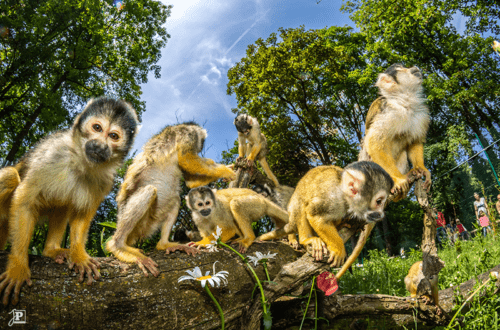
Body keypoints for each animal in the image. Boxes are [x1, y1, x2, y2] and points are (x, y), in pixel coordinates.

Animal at [0, 96, 140, 306]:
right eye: (97, 128)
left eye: (113, 136)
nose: (99, 145)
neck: (80, 161)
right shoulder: (51, 154)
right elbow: (24, 200)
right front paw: (17, 265)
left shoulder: (106, 179)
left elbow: (83, 213)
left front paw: (79, 254)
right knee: (10, 175)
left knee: (62, 203)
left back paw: (51, 251)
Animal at [106, 122, 235, 278]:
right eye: (202, 142)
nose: (201, 147)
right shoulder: (188, 134)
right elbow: (187, 159)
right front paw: (225, 171)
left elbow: (190, 182)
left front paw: (227, 168)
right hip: (135, 221)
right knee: (149, 191)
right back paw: (118, 246)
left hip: (151, 223)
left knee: (175, 199)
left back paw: (164, 244)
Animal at [358, 62, 432, 200]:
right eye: (401, 69)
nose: (413, 67)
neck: (405, 103)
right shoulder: (389, 111)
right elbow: (373, 142)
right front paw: (398, 179)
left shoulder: (421, 113)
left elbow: (415, 141)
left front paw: (421, 169)